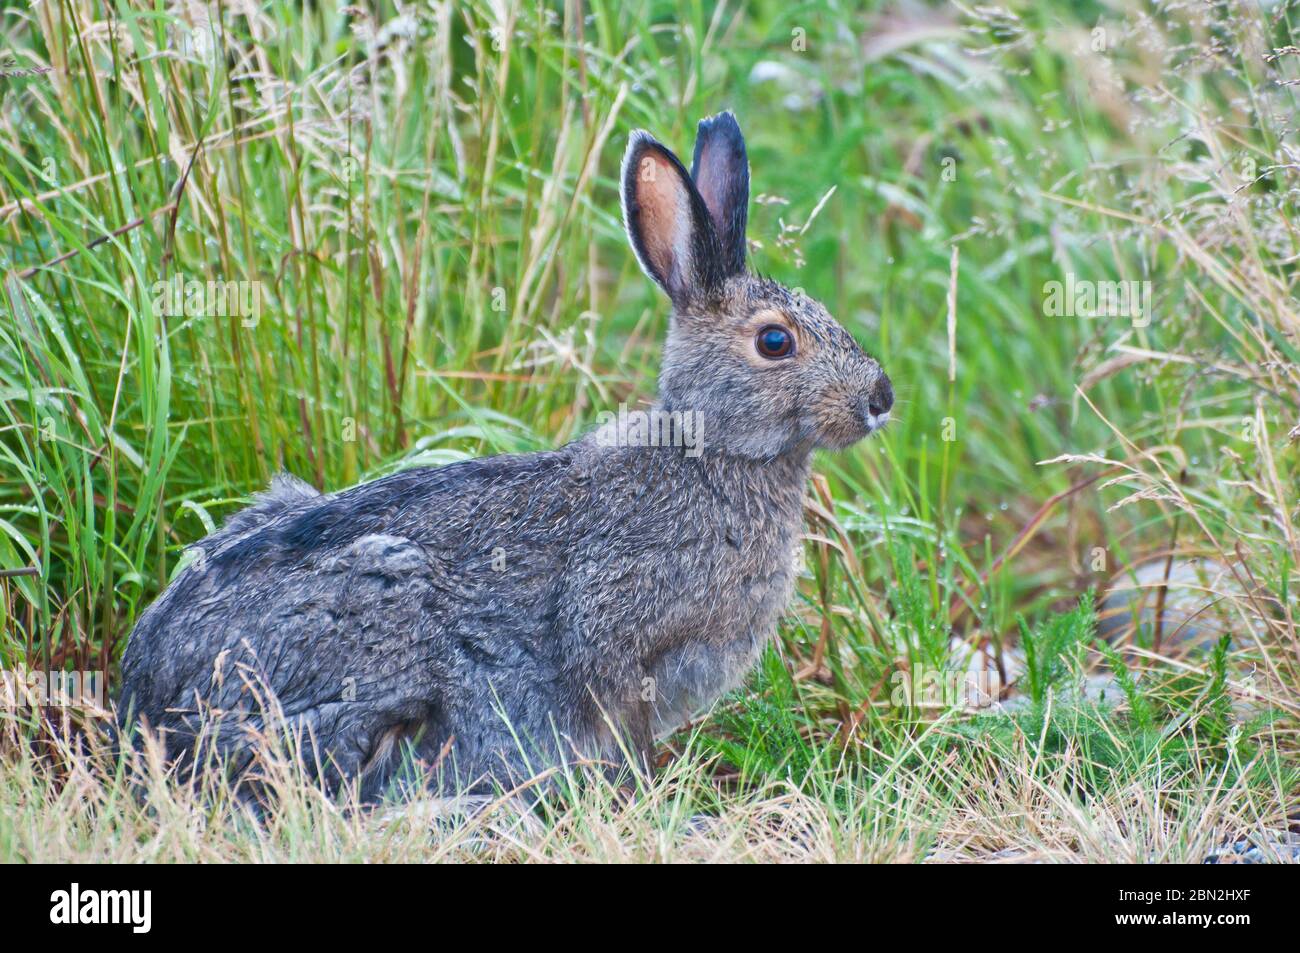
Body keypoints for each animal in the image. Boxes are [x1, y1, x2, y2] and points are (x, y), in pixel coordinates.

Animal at [117, 111, 894, 801]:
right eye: (774, 342)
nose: (881, 397)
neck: (711, 451)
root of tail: (146, 707)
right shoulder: (616, 640)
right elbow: (618, 719)